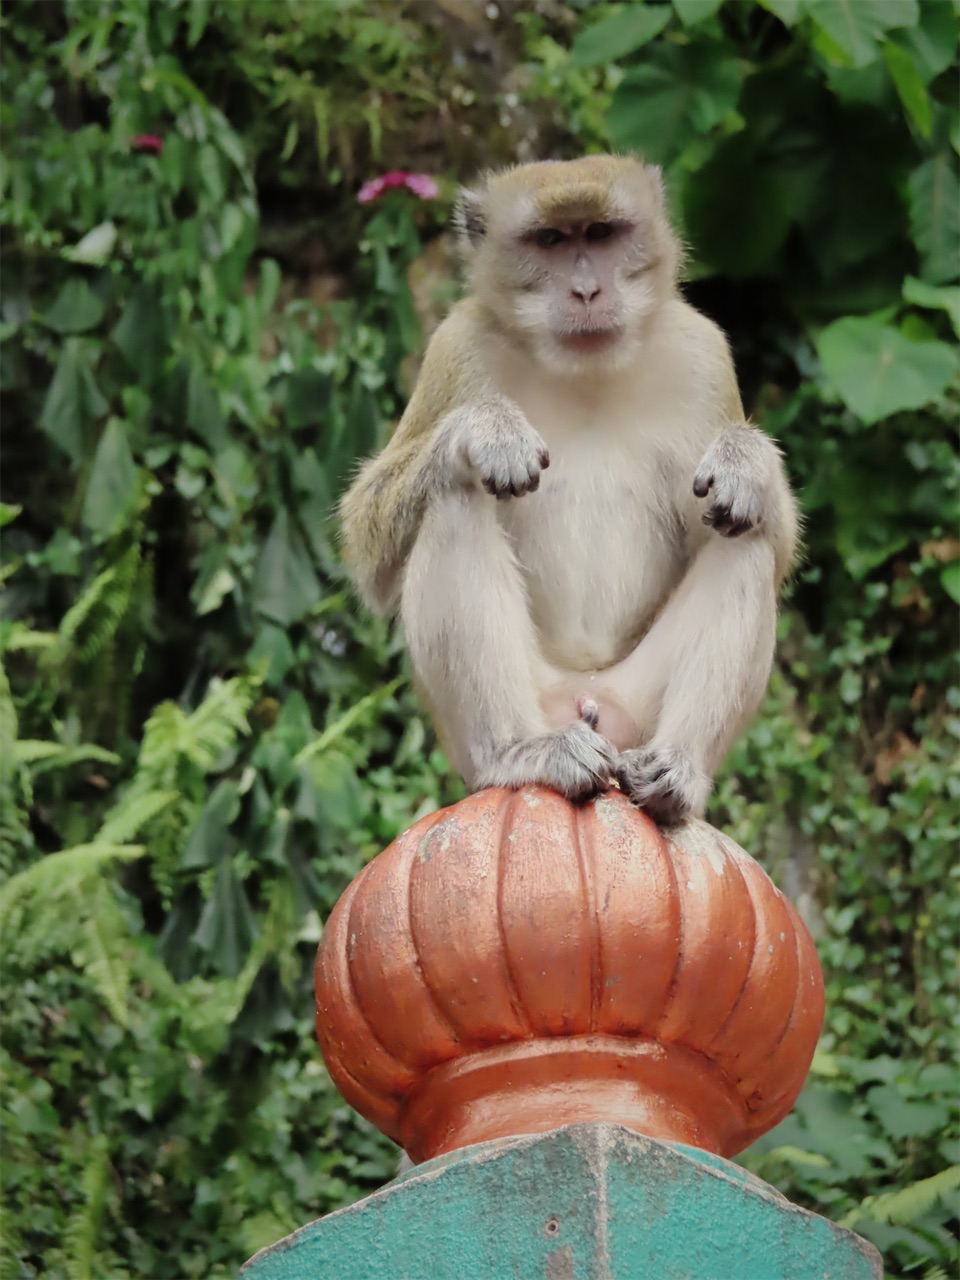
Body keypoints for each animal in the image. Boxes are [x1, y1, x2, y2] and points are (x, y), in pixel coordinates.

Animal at [340, 156, 798, 824]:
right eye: (551, 241)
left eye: (601, 234)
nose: (586, 291)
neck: (585, 373)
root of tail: (585, 694)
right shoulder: (454, 347)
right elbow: (369, 550)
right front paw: (486, 429)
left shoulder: (704, 354)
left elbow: (771, 543)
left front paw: (747, 462)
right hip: (519, 711)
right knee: (453, 499)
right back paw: (520, 752)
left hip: (632, 708)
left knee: (748, 532)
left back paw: (677, 772)